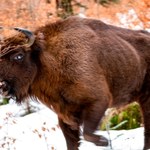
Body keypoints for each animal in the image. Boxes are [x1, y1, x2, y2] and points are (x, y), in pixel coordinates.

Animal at [0, 15, 150, 149]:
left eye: (19, 56)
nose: (2, 86)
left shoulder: (99, 101)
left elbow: (88, 133)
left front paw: (104, 141)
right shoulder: (65, 117)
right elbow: (73, 143)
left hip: (145, 99)